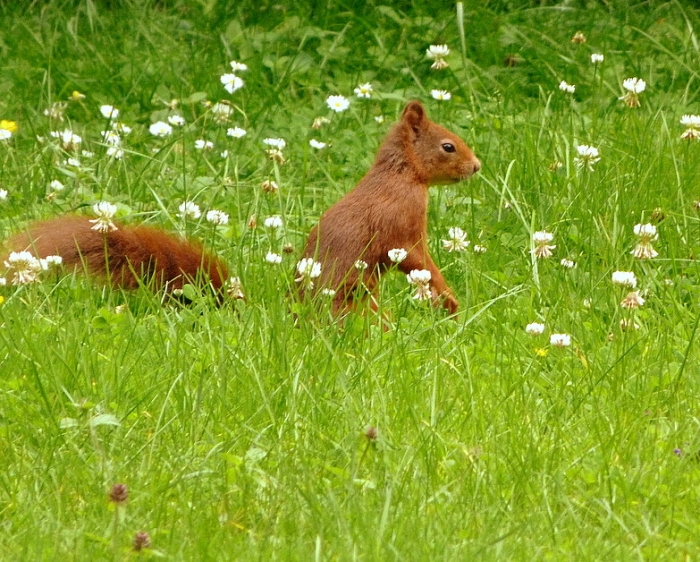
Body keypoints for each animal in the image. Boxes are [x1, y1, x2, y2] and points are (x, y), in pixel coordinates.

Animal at [300, 100, 480, 315]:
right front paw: (447, 298)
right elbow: (420, 261)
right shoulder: (401, 228)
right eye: (448, 147)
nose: (476, 166)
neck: (402, 173)